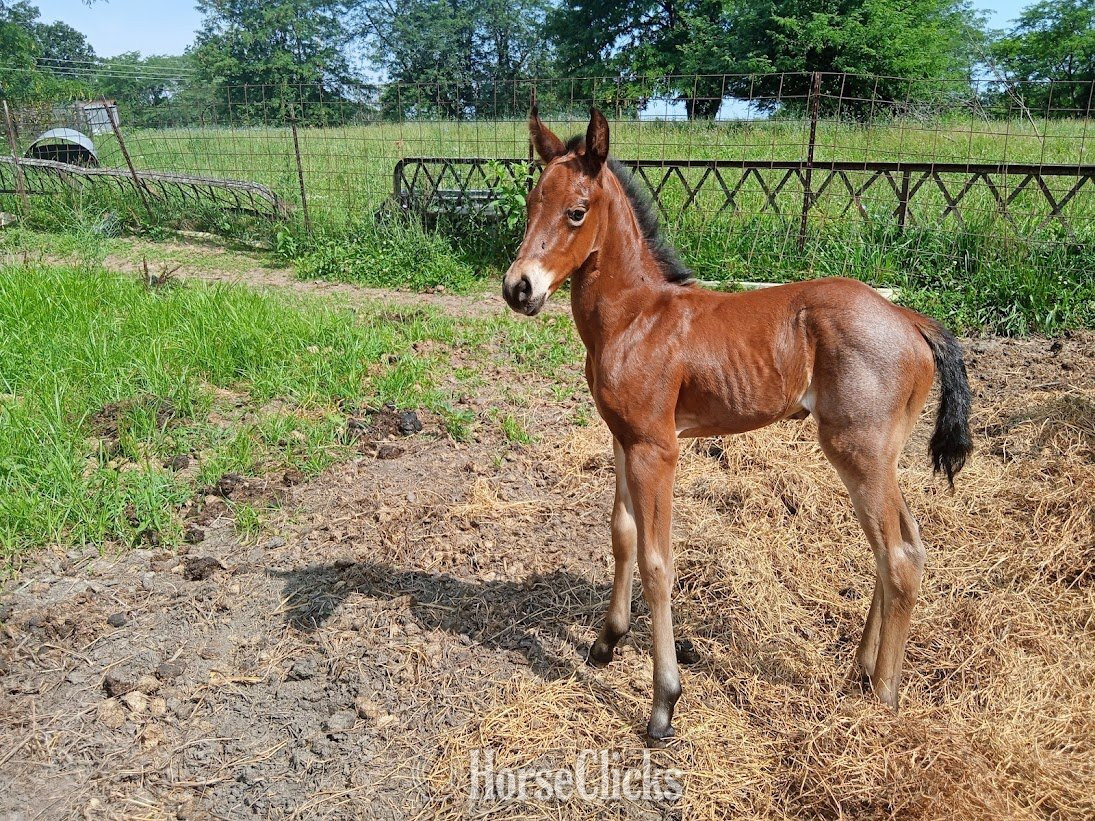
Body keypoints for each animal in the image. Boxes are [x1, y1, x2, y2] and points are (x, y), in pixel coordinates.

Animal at [501, 107, 972, 744]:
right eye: (531, 203)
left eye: (576, 211)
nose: (518, 288)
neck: (637, 317)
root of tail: (910, 318)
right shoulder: (624, 437)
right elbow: (621, 532)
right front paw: (606, 642)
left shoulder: (657, 448)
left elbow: (657, 562)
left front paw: (664, 703)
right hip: (880, 454)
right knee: (902, 547)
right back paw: (860, 669)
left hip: (859, 451)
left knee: (898, 557)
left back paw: (883, 697)